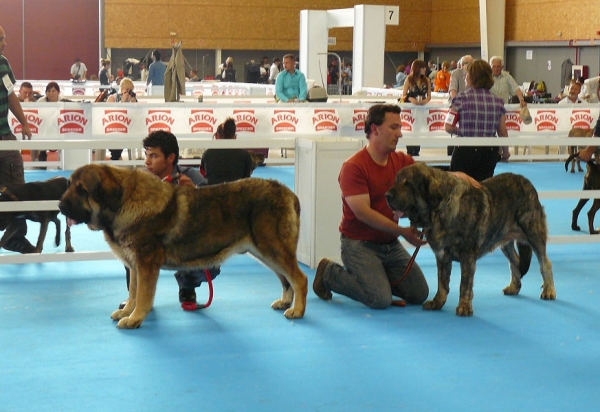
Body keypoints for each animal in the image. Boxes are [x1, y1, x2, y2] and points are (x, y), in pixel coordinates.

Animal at [58, 164, 308, 328]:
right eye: (68, 185)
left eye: (82, 190)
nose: (60, 205)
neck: (121, 204)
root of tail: (289, 192)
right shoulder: (136, 265)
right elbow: (133, 292)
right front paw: (127, 311)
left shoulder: (146, 264)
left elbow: (143, 295)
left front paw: (135, 318)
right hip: (264, 251)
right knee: (286, 280)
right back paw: (286, 301)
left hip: (272, 248)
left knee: (299, 279)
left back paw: (297, 310)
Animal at [386, 163, 556, 316]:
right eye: (396, 180)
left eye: (408, 184)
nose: (387, 195)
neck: (441, 210)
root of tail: (526, 182)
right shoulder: (442, 256)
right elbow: (442, 283)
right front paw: (437, 302)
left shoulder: (467, 257)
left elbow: (464, 284)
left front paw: (464, 307)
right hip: (504, 240)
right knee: (515, 261)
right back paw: (514, 286)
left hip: (534, 233)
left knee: (544, 263)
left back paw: (549, 290)